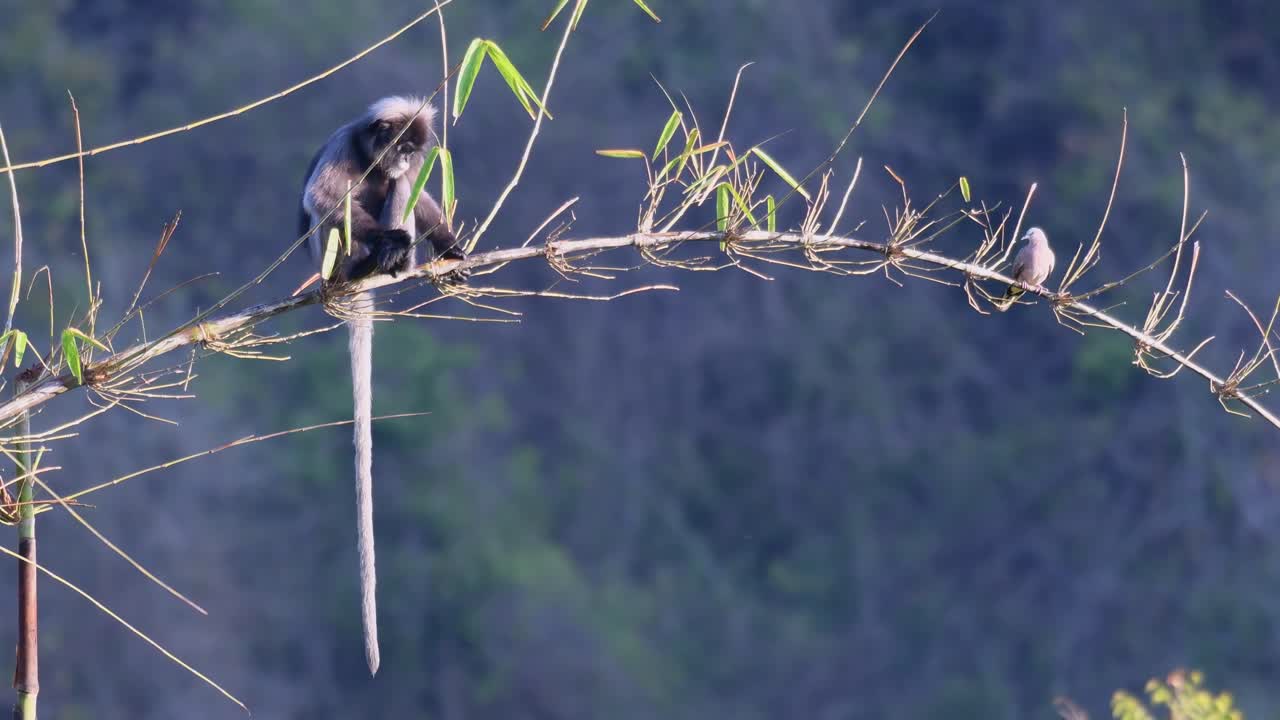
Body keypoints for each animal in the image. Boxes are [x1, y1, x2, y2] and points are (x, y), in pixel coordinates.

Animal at [298, 95, 466, 676]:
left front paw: (448, 248)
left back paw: (401, 259)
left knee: (402, 197)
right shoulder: (342, 146)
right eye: (399, 144)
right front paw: (387, 240)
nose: (404, 160)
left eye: (414, 149)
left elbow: (421, 197)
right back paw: (378, 256)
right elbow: (323, 199)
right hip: (331, 265)